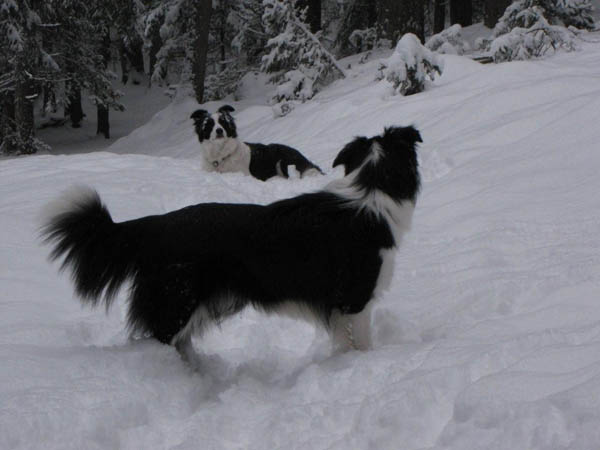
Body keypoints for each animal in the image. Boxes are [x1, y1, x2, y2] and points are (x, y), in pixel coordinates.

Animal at [191, 105, 323, 181]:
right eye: (209, 125)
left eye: (223, 122)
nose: (219, 131)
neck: (220, 156)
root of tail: (303, 158)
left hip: (282, 161)